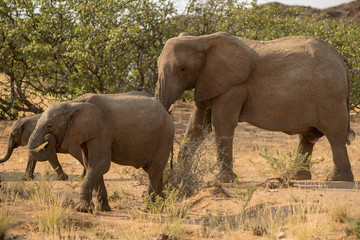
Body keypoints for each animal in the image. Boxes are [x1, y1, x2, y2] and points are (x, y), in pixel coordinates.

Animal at [27, 92, 174, 212]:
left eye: (49, 126)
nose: (48, 138)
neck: (74, 104)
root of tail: (167, 112)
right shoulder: (87, 133)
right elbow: (90, 165)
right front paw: (102, 209)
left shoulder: (103, 131)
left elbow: (100, 164)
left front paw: (83, 209)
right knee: (155, 170)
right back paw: (160, 208)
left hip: (164, 137)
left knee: (154, 169)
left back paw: (148, 209)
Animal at [156, 31, 356, 182]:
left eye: (182, 69)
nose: (170, 171)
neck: (202, 39)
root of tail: (343, 64)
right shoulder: (208, 81)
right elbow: (197, 126)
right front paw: (179, 176)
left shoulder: (234, 86)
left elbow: (221, 124)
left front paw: (224, 180)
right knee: (307, 137)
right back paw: (297, 177)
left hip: (329, 96)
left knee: (334, 134)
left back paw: (337, 180)